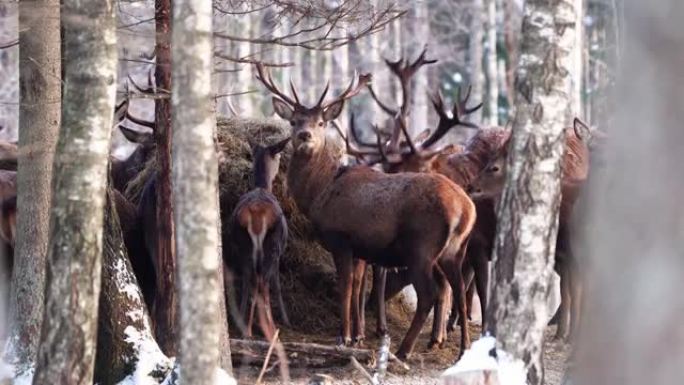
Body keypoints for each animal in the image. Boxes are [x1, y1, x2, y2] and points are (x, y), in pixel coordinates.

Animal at [228, 137, 290, 340]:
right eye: (279, 155)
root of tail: (255, 215)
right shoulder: (279, 252)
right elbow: (276, 284)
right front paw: (286, 319)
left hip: (243, 244)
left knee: (249, 278)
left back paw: (244, 326)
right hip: (272, 244)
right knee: (262, 282)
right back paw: (268, 328)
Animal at [255, 61, 476, 358]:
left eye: (321, 122)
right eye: (294, 121)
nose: (304, 135)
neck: (320, 193)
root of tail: (465, 209)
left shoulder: (341, 238)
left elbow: (346, 286)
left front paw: (344, 336)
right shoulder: (361, 247)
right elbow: (358, 285)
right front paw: (357, 335)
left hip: (422, 246)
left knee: (429, 293)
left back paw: (403, 349)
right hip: (454, 250)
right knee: (458, 290)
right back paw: (463, 348)